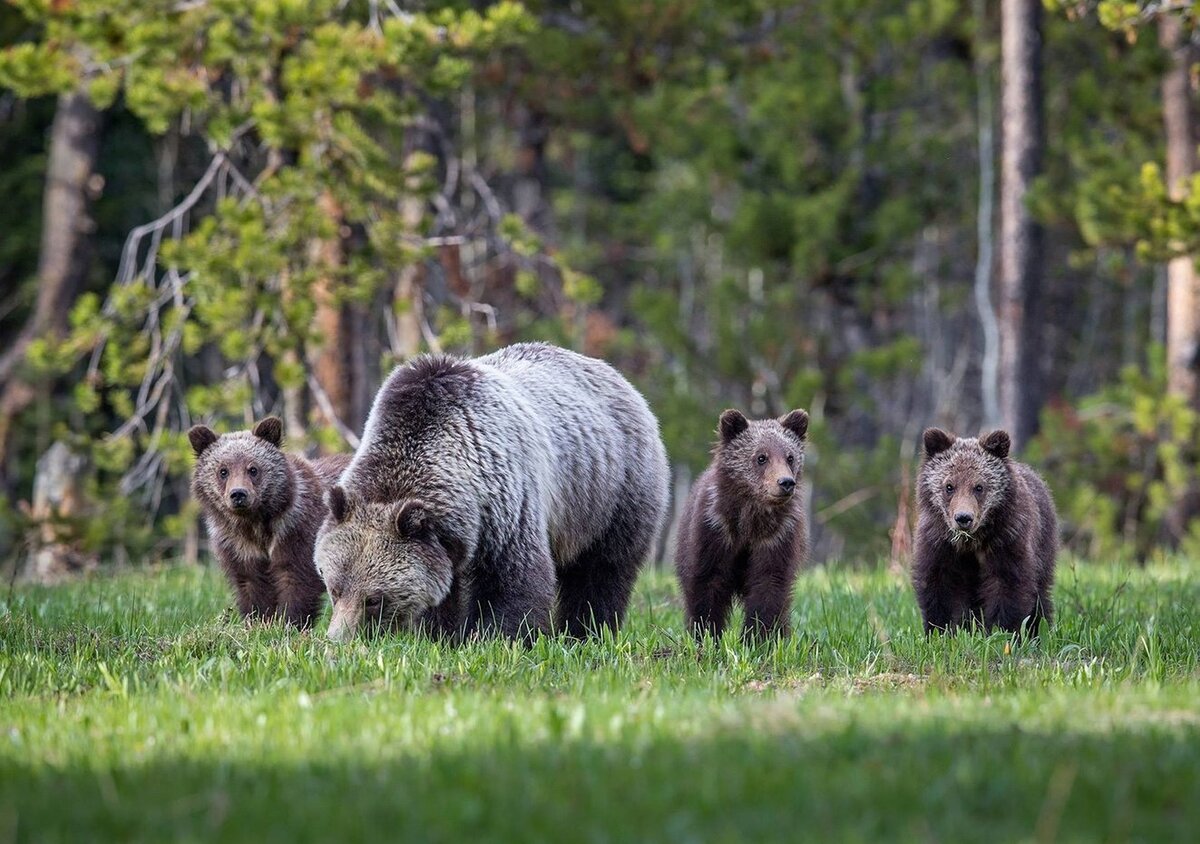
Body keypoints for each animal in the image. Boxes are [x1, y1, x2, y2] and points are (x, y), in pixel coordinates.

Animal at [186, 420, 348, 629]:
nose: (238, 494)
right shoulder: (238, 545)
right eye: (223, 471)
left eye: (253, 469)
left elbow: (296, 579)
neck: (256, 524)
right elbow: (252, 583)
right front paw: (260, 622)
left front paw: (290, 623)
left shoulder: (296, 531)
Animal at [314, 340, 672, 638]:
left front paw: (496, 637)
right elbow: (443, 591)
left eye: (374, 598)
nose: (337, 640)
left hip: (612, 490)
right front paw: (438, 635)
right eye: (334, 588)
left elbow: (514, 581)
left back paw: (587, 632)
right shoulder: (447, 539)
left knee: (602, 570)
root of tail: (616, 376)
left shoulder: (505, 500)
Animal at [672, 408, 811, 638]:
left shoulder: (777, 536)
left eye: (790, 457)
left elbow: (769, 585)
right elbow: (707, 583)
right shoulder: (715, 529)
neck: (751, 521)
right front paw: (706, 634)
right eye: (761, 457)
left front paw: (759, 636)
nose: (785, 482)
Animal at [912, 429, 1056, 633]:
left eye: (978, 487)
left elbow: (1009, 584)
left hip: (1043, 543)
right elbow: (938, 586)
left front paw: (1004, 630)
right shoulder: (939, 543)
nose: (963, 518)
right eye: (949, 486)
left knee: (1040, 592)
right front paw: (939, 630)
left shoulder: (1007, 538)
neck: (971, 542)